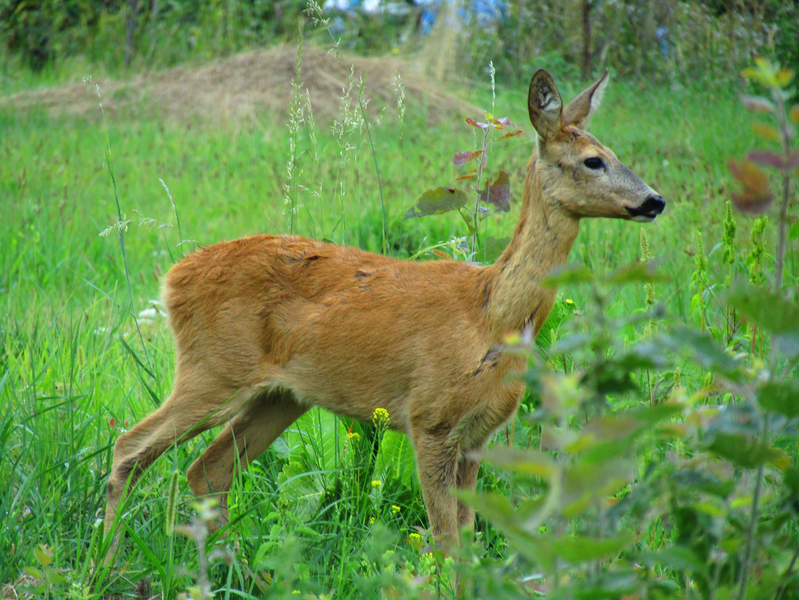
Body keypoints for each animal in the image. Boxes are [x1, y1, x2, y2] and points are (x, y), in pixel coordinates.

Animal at [103, 68, 664, 560]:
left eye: (613, 153)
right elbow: (446, 540)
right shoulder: (429, 418)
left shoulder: (478, 434)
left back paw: (234, 569)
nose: (655, 200)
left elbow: (469, 540)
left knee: (208, 471)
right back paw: (106, 563)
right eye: (593, 161)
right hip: (214, 368)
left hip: (280, 396)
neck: (492, 316)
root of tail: (173, 277)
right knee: (130, 445)